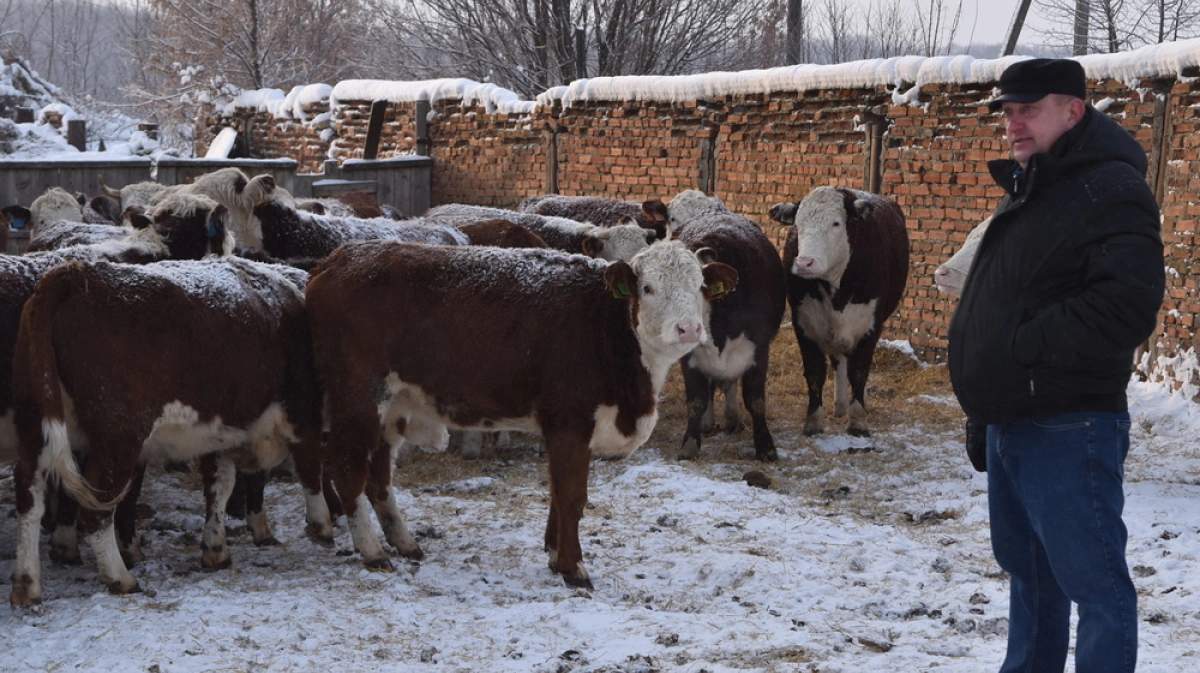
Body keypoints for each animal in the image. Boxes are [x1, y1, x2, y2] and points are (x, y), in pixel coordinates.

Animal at [9, 255, 326, 604]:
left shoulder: (221, 430)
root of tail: (76, 273)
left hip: (35, 424)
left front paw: (216, 548)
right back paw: (120, 577)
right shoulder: (302, 410)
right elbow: (309, 468)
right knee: (96, 509)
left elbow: (220, 485)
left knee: (29, 498)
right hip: (118, 438)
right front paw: (322, 525)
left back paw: (27, 584)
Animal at [304, 238, 734, 585]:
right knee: (346, 468)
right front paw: (573, 568)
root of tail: (338, 259)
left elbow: (558, 493)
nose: (689, 328)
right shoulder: (569, 421)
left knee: (379, 474)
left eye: (700, 287)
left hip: (392, 405)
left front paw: (555, 555)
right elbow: (572, 495)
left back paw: (403, 541)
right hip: (359, 397)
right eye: (648, 287)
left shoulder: (565, 430)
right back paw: (373, 551)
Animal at [648, 191, 787, 458]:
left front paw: (765, 447)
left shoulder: (759, 348)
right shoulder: (690, 356)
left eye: (697, 285)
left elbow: (755, 399)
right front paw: (690, 443)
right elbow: (696, 400)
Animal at [768, 183, 907, 436]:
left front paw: (858, 421)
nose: (804, 263)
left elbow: (859, 371)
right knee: (839, 360)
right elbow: (815, 372)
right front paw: (813, 422)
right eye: (798, 225)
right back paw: (840, 405)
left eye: (836, 223)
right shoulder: (803, 322)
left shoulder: (871, 325)